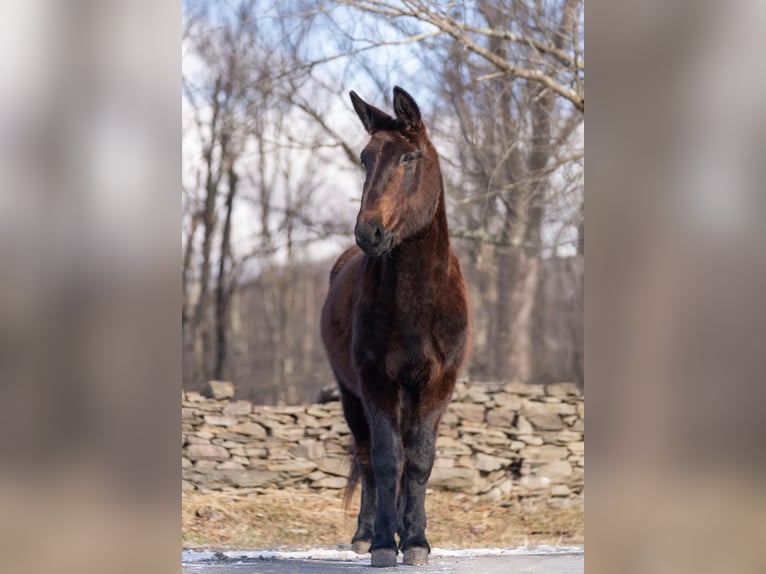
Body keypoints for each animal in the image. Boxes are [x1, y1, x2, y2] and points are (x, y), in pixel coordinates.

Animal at [320, 86, 471, 567]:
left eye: (408, 157)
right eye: (366, 158)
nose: (368, 232)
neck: (416, 300)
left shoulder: (437, 382)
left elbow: (418, 460)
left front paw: (417, 540)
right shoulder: (375, 381)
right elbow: (387, 460)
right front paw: (385, 544)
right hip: (351, 397)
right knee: (367, 458)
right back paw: (366, 534)